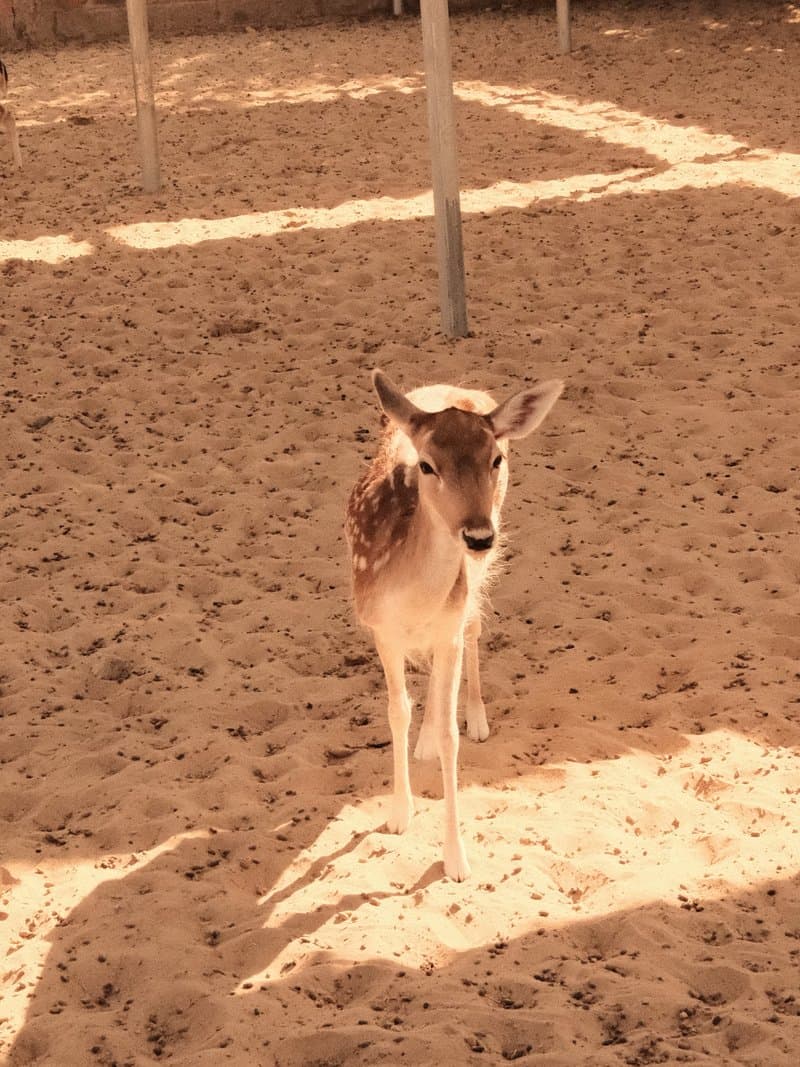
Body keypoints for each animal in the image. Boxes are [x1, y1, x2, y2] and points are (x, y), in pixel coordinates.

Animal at [345, 369, 563, 881]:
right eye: (426, 465)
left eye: (496, 458)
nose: (478, 535)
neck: (413, 596)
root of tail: (457, 387)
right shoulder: (381, 629)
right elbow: (396, 711)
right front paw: (398, 815)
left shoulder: (450, 621)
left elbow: (451, 734)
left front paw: (456, 859)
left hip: (474, 584)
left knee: (475, 629)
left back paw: (477, 717)